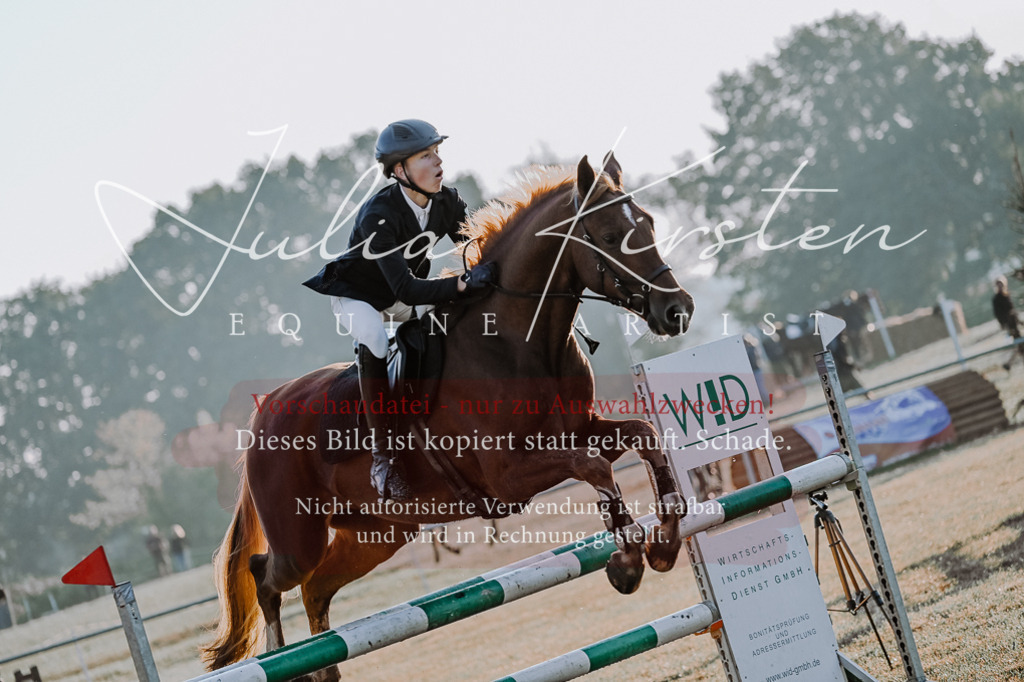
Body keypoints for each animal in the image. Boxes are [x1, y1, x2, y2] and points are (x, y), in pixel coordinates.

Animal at [202, 153, 696, 679]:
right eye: (608, 235)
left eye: (648, 223)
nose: (677, 310)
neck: (516, 344)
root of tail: (261, 421)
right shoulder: (508, 475)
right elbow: (594, 467)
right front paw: (627, 562)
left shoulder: (581, 430)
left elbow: (644, 435)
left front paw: (664, 544)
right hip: (300, 538)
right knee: (266, 577)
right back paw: (283, 659)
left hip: (380, 533)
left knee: (316, 590)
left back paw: (324, 670)